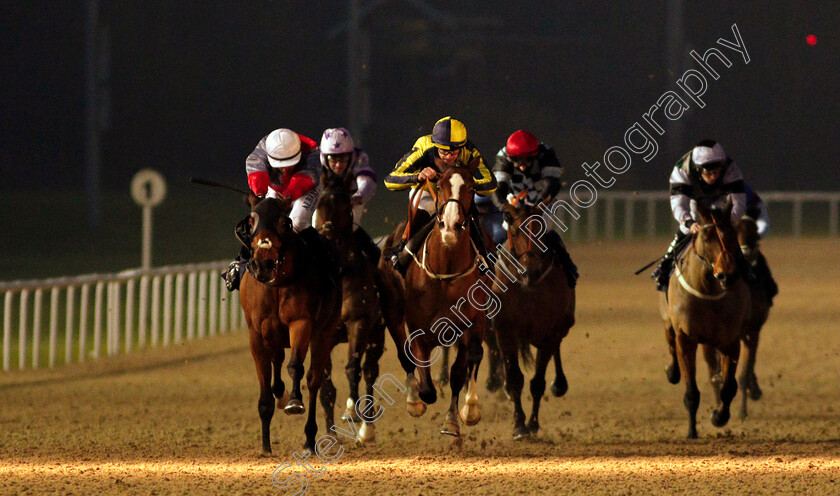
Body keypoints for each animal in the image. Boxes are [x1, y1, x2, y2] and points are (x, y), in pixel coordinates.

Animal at [238, 194, 342, 454]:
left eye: (284, 223)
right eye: (251, 222)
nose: (263, 264)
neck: (277, 284)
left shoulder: (301, 323)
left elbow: (296, 366)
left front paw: (294, 401)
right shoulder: (256, 332)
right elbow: (265, 379)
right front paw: (265, 445)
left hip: (324, 334)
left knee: (314, 380)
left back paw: (309, 438)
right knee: (277, 361)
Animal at [388, 165, 492, 436]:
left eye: (471, 188)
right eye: (440, 185)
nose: (450, 227)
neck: (445, 271)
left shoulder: (471, 323)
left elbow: (463, 367)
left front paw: (459, 416)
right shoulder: (417, 326)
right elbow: (425, 381)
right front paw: (420, 399)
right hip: (393, 312)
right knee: (403, 354)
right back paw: (414, 402)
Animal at [488, 197, 576, 438]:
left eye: (541, 231)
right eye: (515, 231)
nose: (531, 272)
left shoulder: (549, 334)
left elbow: (537, 382)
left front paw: (533, 423)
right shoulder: (505, 331)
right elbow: (514, 379)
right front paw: (519, 425)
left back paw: (559, 383)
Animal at [656, 202, 748, 438]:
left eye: (732, 236)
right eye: (706, 238)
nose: (727, 275)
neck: (708, 291)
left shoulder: (730, 340)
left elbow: (728, 387)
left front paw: (719, 416)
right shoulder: (686, 338)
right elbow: (691, 391)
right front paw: (691, 431)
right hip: (668, 319)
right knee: (670, 342)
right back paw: (671, 371)